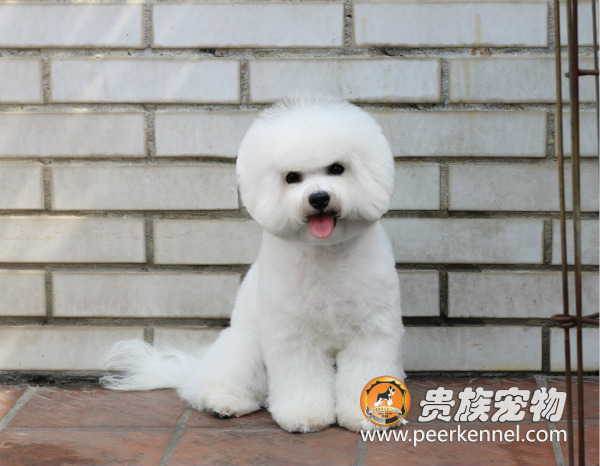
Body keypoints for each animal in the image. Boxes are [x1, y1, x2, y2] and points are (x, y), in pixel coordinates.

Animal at [102, 97, 405, 433]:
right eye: (291, 177)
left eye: (337, 168)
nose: (318, 197)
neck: (325, 254)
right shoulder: (293, 337)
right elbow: (301, 378)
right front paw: (304, 415)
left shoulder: (371, 332)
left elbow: (365, 372)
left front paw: (366, 417)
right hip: (243, 351)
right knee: (210, 386)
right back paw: (223, 403)